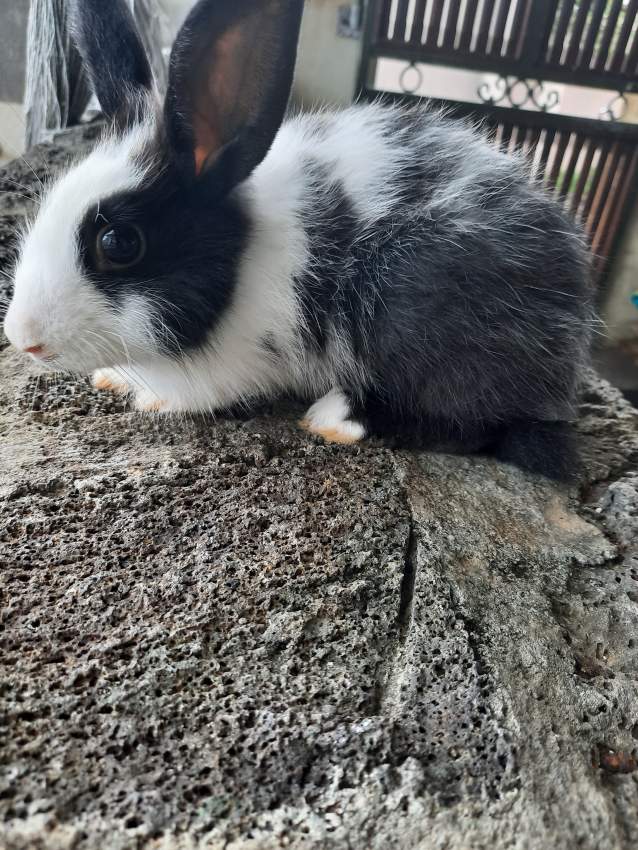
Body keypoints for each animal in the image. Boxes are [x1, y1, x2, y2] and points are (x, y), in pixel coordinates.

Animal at [3, 0, 595, 481]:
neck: (238, 260)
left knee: (479, 422)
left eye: (119, 243)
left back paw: (336, 418)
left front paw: (147, 397)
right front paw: (112, 379)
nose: (22, 338)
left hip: (413, 307)